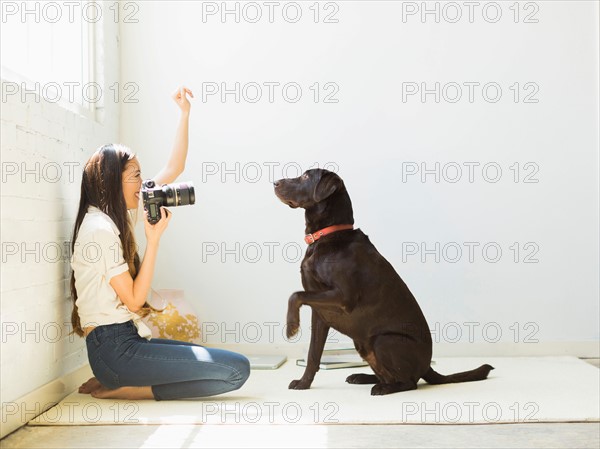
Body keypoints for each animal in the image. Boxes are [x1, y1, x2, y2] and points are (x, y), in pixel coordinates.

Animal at [274, 169, 494, 396]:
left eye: (306, 177)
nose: (275, 182)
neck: (329, 235)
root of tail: (427, 367)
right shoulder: (320, 314)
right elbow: (313, 354)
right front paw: (304, 383)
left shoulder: (343, 297)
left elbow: (295, 295)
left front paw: (291, 327)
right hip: (362, 343)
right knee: (390, 375)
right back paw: (363, 377)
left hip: (383, 340)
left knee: (409, 382)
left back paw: (382, 388)